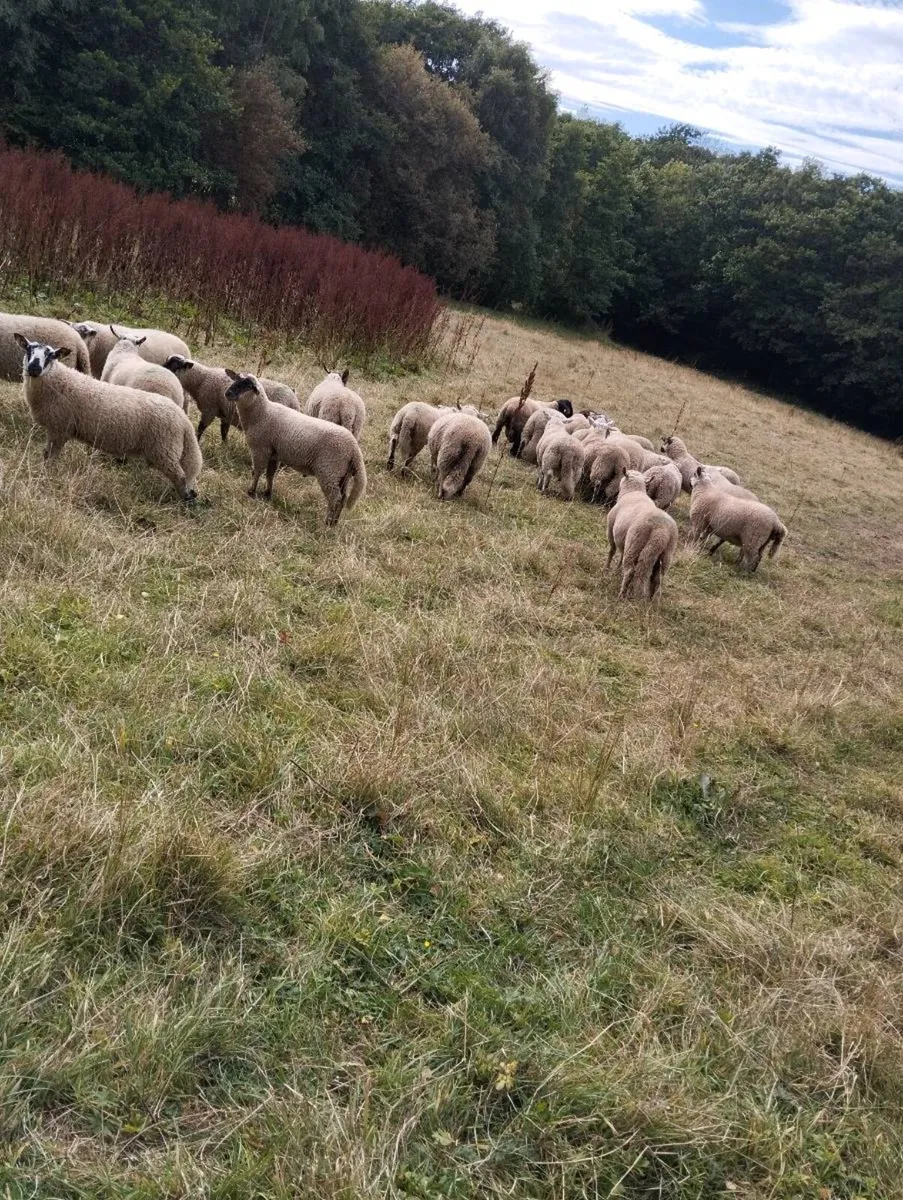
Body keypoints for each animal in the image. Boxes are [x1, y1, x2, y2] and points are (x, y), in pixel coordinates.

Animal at [15, 337, 202, 501]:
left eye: (51, 355)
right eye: (28, 349)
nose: (34, 368)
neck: (58, 383)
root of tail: (184, 421)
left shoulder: (60, 428)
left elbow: (50, 457)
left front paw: (46, 475)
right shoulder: (57, 429)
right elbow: (46, 455)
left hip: (164, 450)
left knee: (181, 476)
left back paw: (186, 500)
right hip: (166, 450)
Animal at [164, 356, 299, 443]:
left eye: (174, 366)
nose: (161, 369)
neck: (202, 379)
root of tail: (294, 401)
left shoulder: (210, 409)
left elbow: (201, 428)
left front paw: (197, 442)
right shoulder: (225, 414)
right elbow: (224, 432)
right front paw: (224, 446)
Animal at [224, 371, 365, 526]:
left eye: (248, 385)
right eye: (236, 379)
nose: (228, 393)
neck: (262, 413)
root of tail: (354, 449)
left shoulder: (260, 449)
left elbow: (257, 472)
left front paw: (251, 492)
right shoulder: (274, 453)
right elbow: (270, 475)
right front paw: (267, 494)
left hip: (329, 471)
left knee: (336, 499)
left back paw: (326, 524)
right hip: (343, 475)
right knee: (343, 498)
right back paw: (334, 523)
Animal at [606, 469, 678, 599]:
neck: (634, 491)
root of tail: (661, 531)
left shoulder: (611, 529)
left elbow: (612, 551)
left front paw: (606, 569)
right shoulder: (624, 540)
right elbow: (621, 556)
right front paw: (617, 570)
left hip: (636, 543)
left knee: (631, 571)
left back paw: (622, 594)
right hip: (665, 554)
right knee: (657, 579)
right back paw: (650, 599)